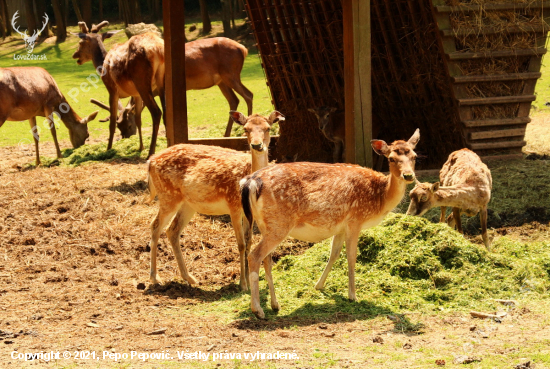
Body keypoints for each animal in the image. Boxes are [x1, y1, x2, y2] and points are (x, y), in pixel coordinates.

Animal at [72, 20, 165, 157]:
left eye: (80, 42)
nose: (74, 55)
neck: (102, 65)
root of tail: (157, 50)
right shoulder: (136, 94)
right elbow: (138, 119)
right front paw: (140, 147)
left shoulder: (111, 89)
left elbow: (112, 123)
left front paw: (108, 149)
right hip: (161, 81)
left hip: (142, 81)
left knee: (157, 112)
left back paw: (151, 152)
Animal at [147, 110, 284, 288]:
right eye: (245, 129)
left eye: (268, 128)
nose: (257, 145)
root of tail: (150, 161)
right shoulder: (233, 205)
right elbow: (240, 244)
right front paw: (242, 283)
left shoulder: (249, 212)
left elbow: (249, 242)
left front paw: (249, 279)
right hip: (168, 195)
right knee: (155, 226)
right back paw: (155, 277)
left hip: (187, 204)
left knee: (172, 230)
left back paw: (189, 278)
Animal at [243, 128, 422, 318]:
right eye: (391, 158)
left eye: (415, 156)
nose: (408, 175)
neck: (380, 198)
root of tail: (251, 181)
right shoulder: (355, 220)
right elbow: (351, 256)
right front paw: (352, 295)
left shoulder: (341, 227)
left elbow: (334, 254)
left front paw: (319, 285)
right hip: (279, 224)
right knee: (254, 256)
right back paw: (258, 310)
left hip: (266, 224)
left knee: (267, 259)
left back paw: (275, 305)